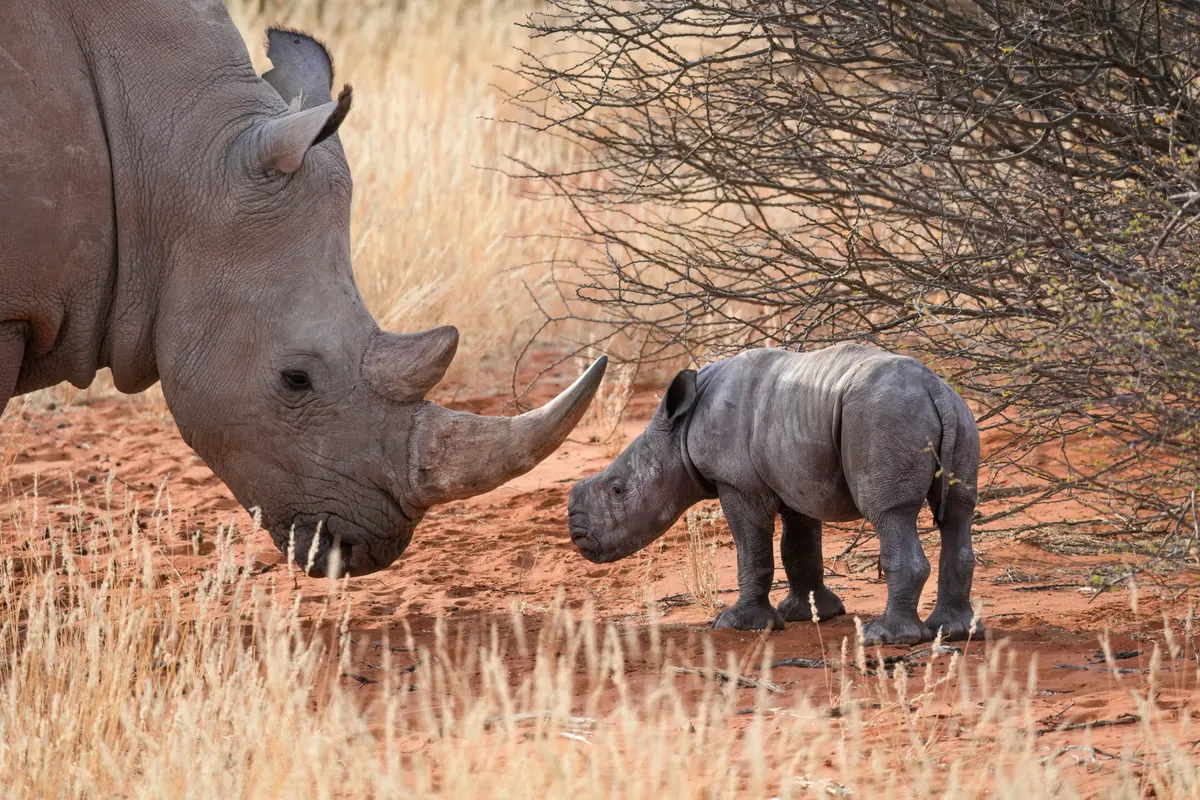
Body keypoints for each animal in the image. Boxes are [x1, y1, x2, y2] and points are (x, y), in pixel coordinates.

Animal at [568, 344, 982, 645]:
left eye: (618, 490)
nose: (578, 536)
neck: (677, 431)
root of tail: (933, 388)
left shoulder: (738, 484)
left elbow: (752, 550)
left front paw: (739, 624)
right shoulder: (795, 477)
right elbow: (799, 549)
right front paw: (812, 613)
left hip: (884, 419)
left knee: (891, 512)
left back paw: (886, 638)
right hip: (958, 416)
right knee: (959, 512)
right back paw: (956, 632)